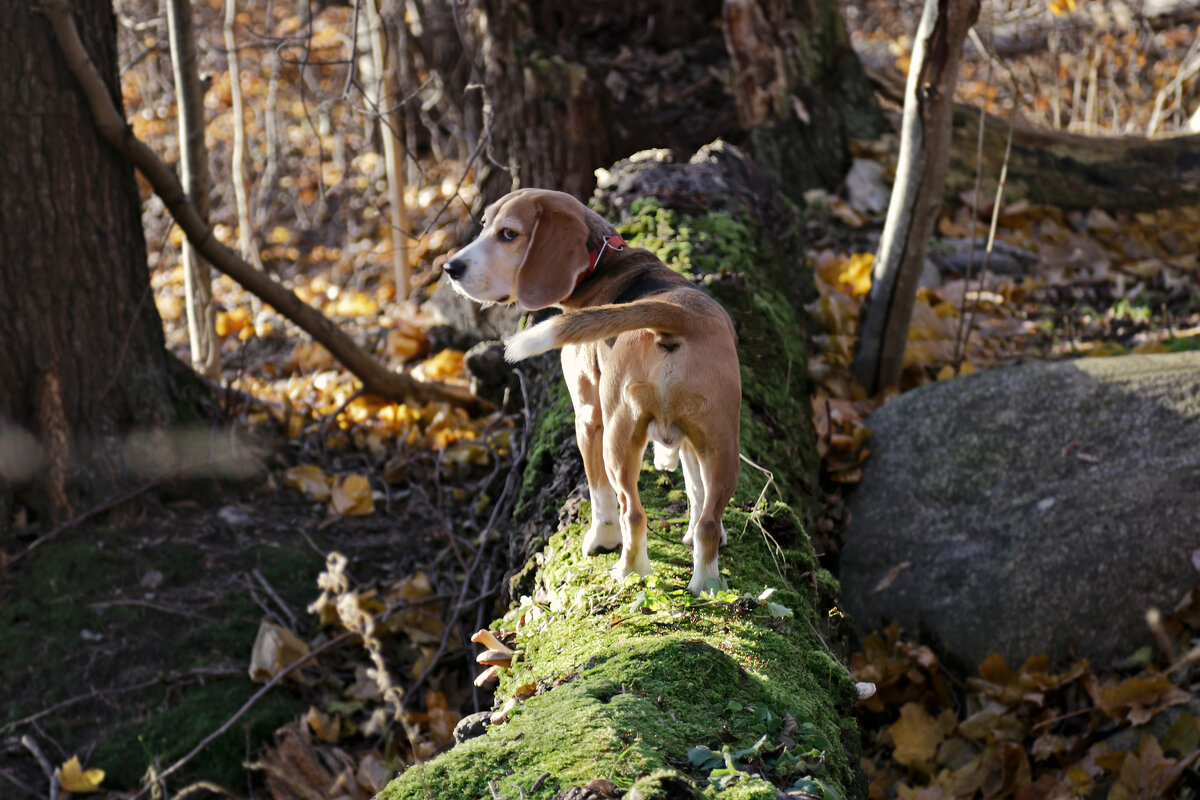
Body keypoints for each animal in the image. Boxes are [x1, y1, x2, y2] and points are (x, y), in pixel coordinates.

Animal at [444, 188, 739, 594]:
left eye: (508, 234)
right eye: (485, 225)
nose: (450, 268)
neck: (603, 262)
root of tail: (679, 313)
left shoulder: (587, 416)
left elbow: (598, 494)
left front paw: (601, 539)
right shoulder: (693, 439)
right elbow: (696, 489)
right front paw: (692, 533)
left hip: (618, 435)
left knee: (631, 511)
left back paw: (627, 570)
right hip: (722, 442)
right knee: (709, 517)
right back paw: (706, 582)